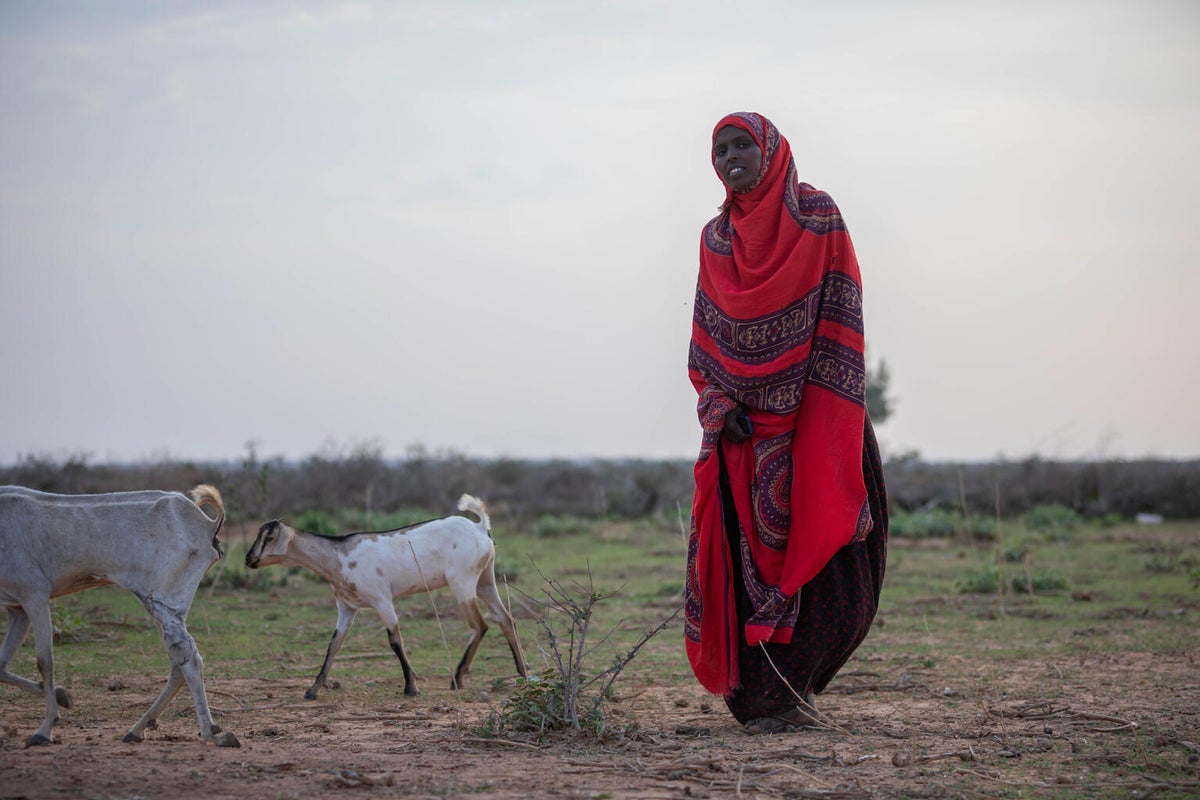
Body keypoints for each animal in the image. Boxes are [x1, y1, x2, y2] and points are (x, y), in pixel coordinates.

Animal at [0, 489, 241, 753]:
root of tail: (208, 524)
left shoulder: (35, 596)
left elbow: (45, 661)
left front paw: (45, 728)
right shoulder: (17, 608)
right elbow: (1, 665)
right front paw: (62, 696)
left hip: (164, 604)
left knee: (189, 659)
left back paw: (213, 733)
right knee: (178, 663)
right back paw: (138, 729)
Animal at [243, 494, 525, 700]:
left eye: (269, 537)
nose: (249, 559)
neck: (338, 555)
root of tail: (479, 527)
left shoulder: (382, 600)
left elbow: (395, 640)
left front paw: (411, 686)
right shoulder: (346, 607)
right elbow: (334, 645)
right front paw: (312, 689)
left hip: (462, 583)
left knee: (479, 625)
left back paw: (457, 679)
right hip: (485, 581)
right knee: (506, 619)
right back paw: (522, 673)